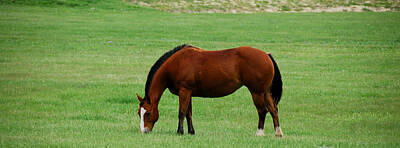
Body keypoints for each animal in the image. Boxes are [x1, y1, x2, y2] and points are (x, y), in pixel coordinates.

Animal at [136, 44, 282, 137]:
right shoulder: (188, 93)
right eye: (139, 113)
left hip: (257, 92)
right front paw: (191, 132)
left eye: (148, 113)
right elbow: (189, 113)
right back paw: (278, 133)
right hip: (266, 92)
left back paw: (260, 132)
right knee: (273, 110)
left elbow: (181, 112)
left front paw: (179, 132)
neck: (176, 64)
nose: (144, 131)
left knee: (262, 111)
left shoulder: (184, 91)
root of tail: (266, 55)